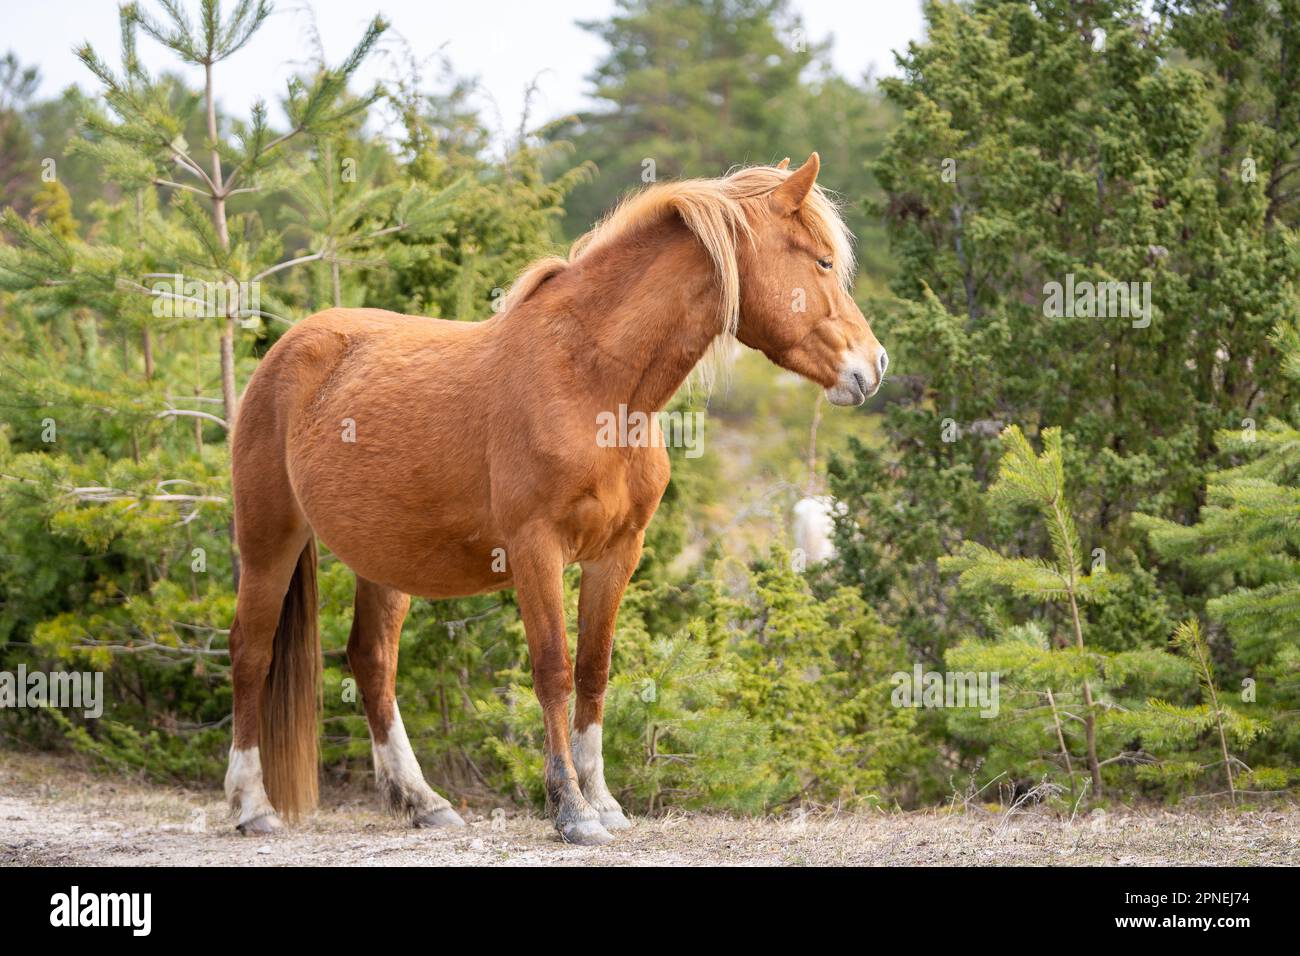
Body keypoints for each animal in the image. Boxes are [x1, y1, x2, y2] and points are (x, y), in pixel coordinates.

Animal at [228, 153, 889, 848]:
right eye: (821, 261)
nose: (873, 365)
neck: (591, 383)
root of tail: (287, 351)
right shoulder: (535, 551)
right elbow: (553, 670)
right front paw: (570, 809)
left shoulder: (617, 554)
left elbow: (594, 672)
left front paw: (604, 802)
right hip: (269, 540)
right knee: (251, 652)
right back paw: (253, 805)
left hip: (383, 560)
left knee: (373, 660)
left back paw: (422, 802)